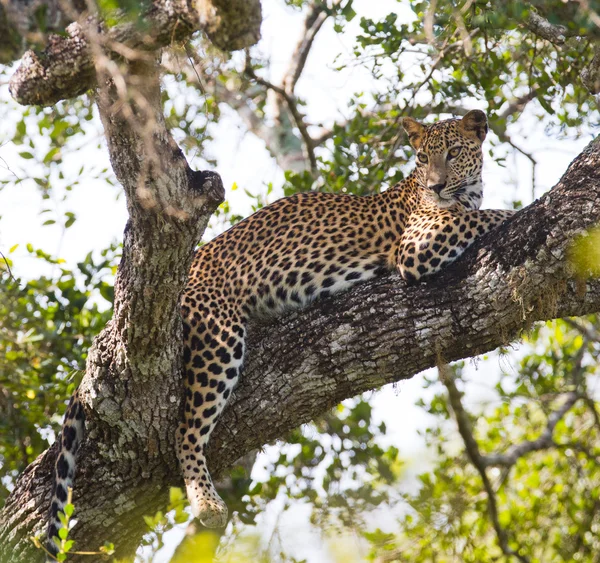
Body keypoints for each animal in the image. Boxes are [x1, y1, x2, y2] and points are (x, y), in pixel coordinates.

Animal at [47, 109, 516, 556]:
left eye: (452, 153)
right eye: (422, 157)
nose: (436, 187)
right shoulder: (416, 247)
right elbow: (483, 217)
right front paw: (516, 209)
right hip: (218, 339)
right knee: (185, 432)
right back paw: (207, 503)